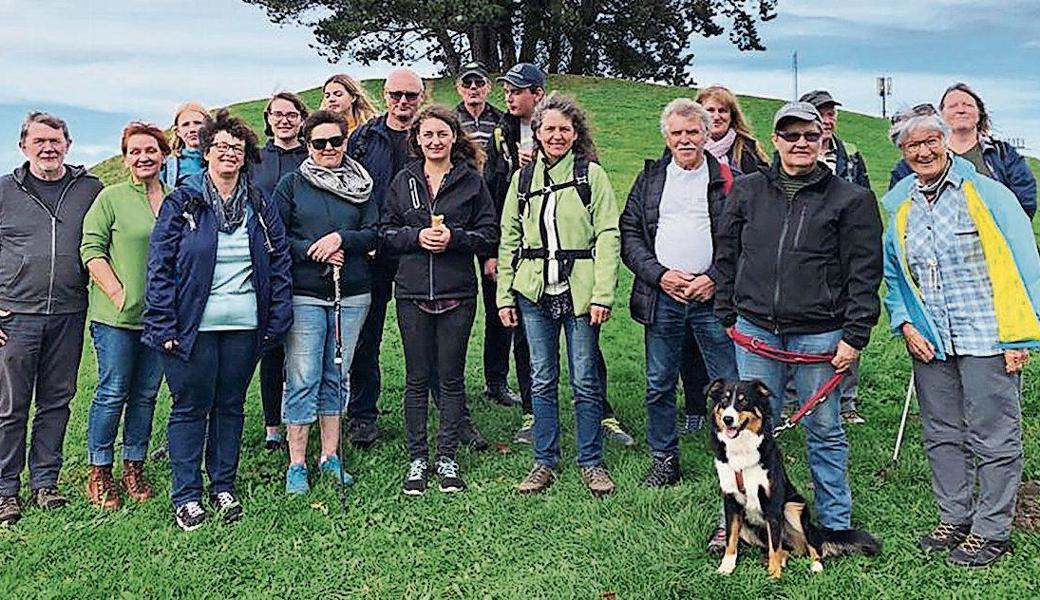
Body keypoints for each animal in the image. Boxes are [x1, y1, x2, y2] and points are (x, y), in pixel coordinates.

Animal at [707, 376, 877, 578]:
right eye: (724, 401)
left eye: (744, 401)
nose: (728, 419)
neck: (741, 451)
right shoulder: (731, 502)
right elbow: (731, 539)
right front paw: (726, 567)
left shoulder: (773, 504)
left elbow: (775, 545)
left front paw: (774, 575)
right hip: (748, 528)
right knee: (785, 549)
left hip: (793, 508)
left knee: (811, 546)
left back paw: (815, 565)